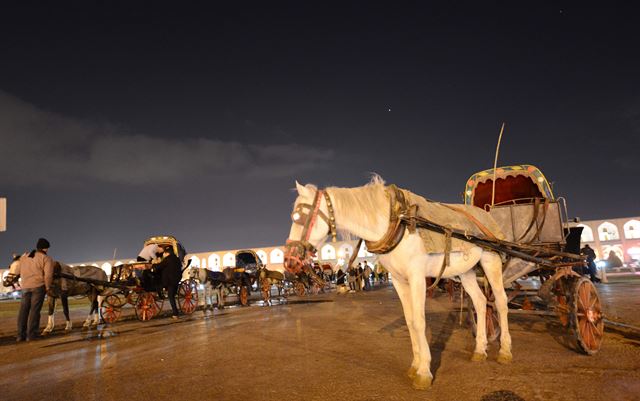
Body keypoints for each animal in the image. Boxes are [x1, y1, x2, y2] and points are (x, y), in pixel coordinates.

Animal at [282, 177, 512, 388]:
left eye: (298, 217)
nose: (289, 261)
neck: (396, 220)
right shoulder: (400, 281)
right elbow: (410, 322)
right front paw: (415, 365)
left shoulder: (417, 276)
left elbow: (419, 321)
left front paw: (424, 371)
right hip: (465, 271)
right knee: (481, 302)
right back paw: (480, 349)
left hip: (491, 260)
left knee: (501, 302)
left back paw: (505, 350)